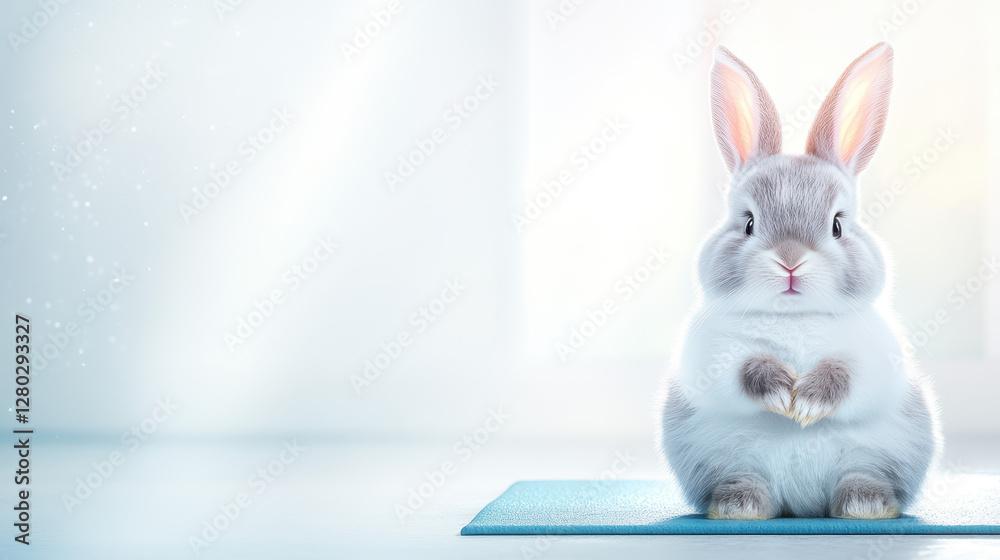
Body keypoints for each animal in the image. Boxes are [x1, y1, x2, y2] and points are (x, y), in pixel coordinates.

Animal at [657, 42, 941, 519]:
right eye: (749, 223)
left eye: (838, 226)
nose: (790, 262)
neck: (795, 316)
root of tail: (804, 505)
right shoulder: (712, 356)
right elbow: (741, 368)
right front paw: (780, 393)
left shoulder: (874, 359)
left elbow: (846, 374)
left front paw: (807, 402)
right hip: (723, 459)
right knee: (746, 482)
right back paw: (738, 506)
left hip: (880, 454)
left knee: (862, 476)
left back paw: (865, 504)